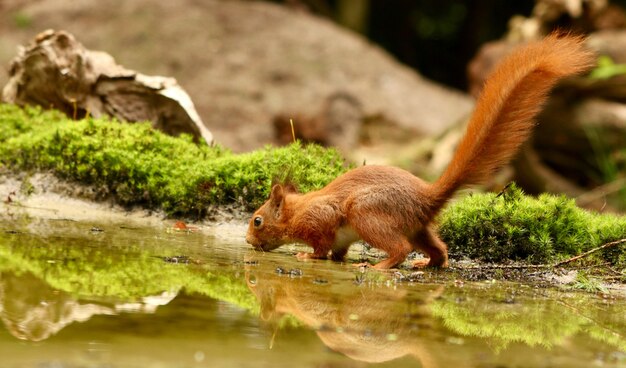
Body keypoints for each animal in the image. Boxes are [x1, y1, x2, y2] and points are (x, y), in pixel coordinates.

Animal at [243, 33, 588, 270]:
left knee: (399, 248)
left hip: (368, 214)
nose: (247, 241)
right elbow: (337, 250)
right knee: (439, 249)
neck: (297, 210)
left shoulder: (321, 219)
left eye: (257, 221)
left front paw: (306, 254)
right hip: (418, 228)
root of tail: (426, 197)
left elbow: (322, 246)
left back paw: (379, 266)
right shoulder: (340, 236)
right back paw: (428, 263)